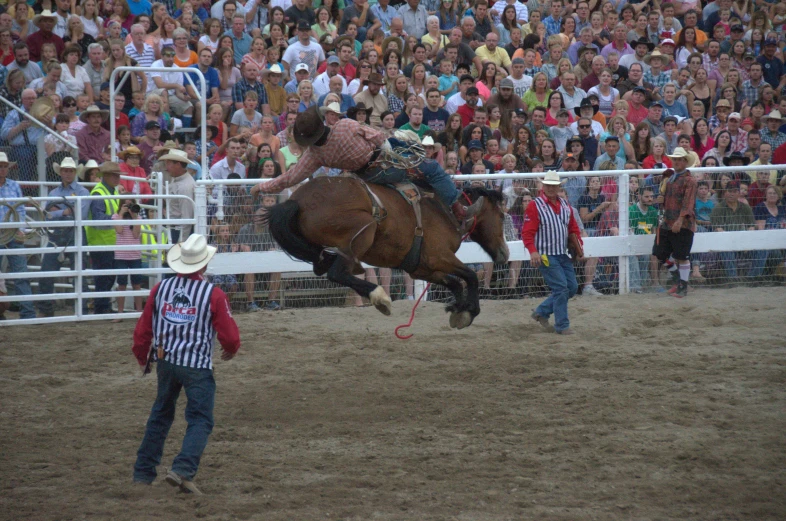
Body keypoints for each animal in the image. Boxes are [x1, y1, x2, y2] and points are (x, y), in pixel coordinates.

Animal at [264, 175, 508, 330]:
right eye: (503, 216)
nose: (504, 252)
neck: (445, 211)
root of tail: (297, 200)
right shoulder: (440, 257)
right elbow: (470, 276)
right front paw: (469, 312)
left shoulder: (422, 269)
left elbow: (456, 283)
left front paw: (457, 309)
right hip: (361, 233)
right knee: (338, 273)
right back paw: (379, 297)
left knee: (324, 265)